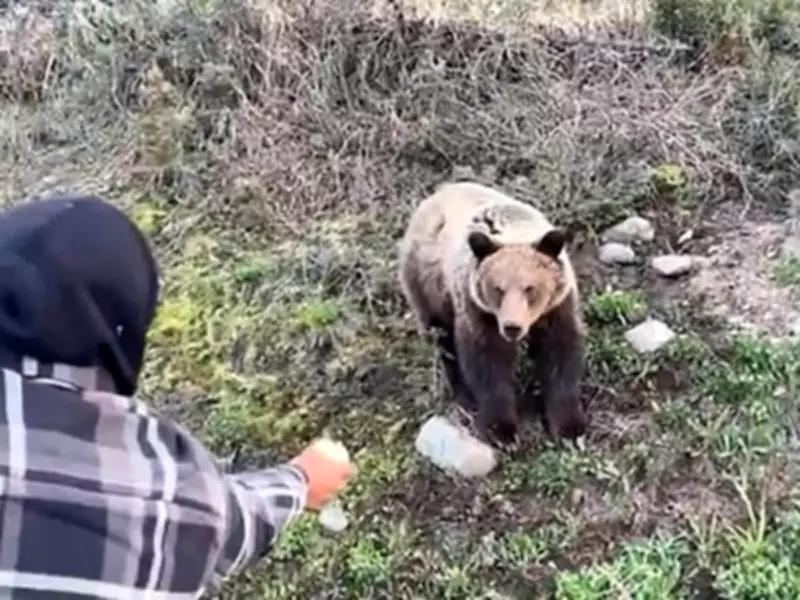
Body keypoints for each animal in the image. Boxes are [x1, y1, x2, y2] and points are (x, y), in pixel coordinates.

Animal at [397, 181, 587, 448]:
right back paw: (463, 395)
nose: (512, 326)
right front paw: (501, 431)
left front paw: (570, 429)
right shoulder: (478, 310)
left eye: (530, 288)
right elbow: (487, 363)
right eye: (498, 288)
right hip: (428, 285)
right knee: (444, 341)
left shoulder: (557, 308)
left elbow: (561, 356)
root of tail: (434, 195)